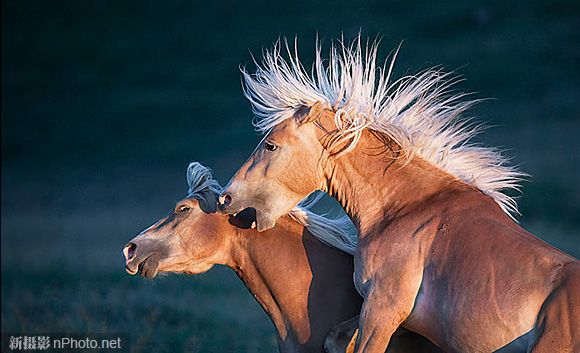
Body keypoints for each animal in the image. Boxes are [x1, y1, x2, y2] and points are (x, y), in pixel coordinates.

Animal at [218, 39, 580, 352]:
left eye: (270, 145)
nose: (226, 198)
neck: (404, 208)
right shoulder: (380, 314)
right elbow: (335, 337)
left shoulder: (383, 308)